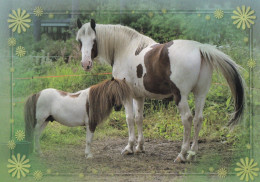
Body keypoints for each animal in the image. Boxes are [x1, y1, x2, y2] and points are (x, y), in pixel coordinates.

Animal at [75, 19, 246, 162]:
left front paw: (129, 148)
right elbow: (139, 118)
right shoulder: (138, 97)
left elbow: (129, 119)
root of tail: (199, 48)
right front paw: (139, 147)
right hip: (200, 94)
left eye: (94, 40)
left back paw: (182, 155)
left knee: (187, 119)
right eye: (79, 41)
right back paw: (192, 153)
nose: (86, 64)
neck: (125, 49)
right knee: (198, 119)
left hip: (181, 96)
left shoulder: (127, 96)